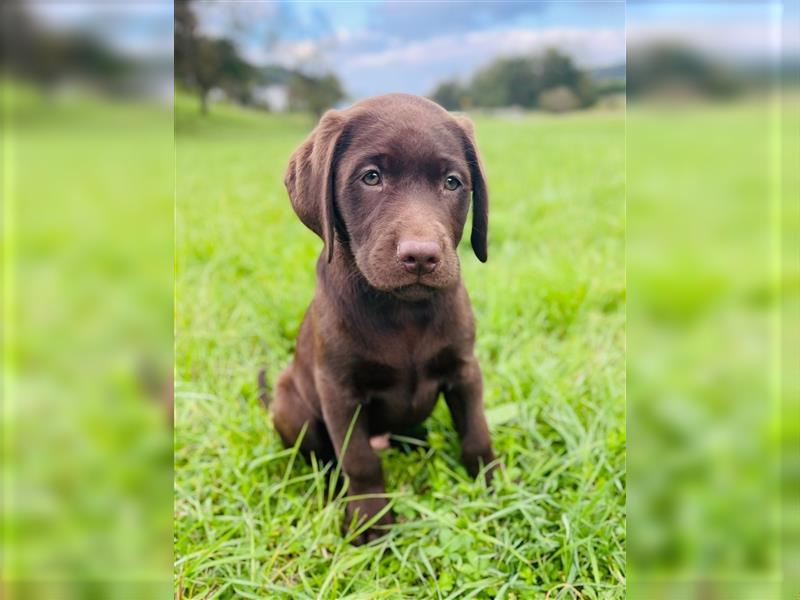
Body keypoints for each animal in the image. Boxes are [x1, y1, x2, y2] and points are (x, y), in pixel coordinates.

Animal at [272, 92, 496, 544]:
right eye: (371, 177)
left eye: (452, 182)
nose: (421, 256)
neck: (402, 309)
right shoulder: (338, 390)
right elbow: (359, 460)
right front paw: (370, 520)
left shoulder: (465, 369)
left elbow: (477, 429)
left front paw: (493, 486)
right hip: (290, 405)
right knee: (322, 457)